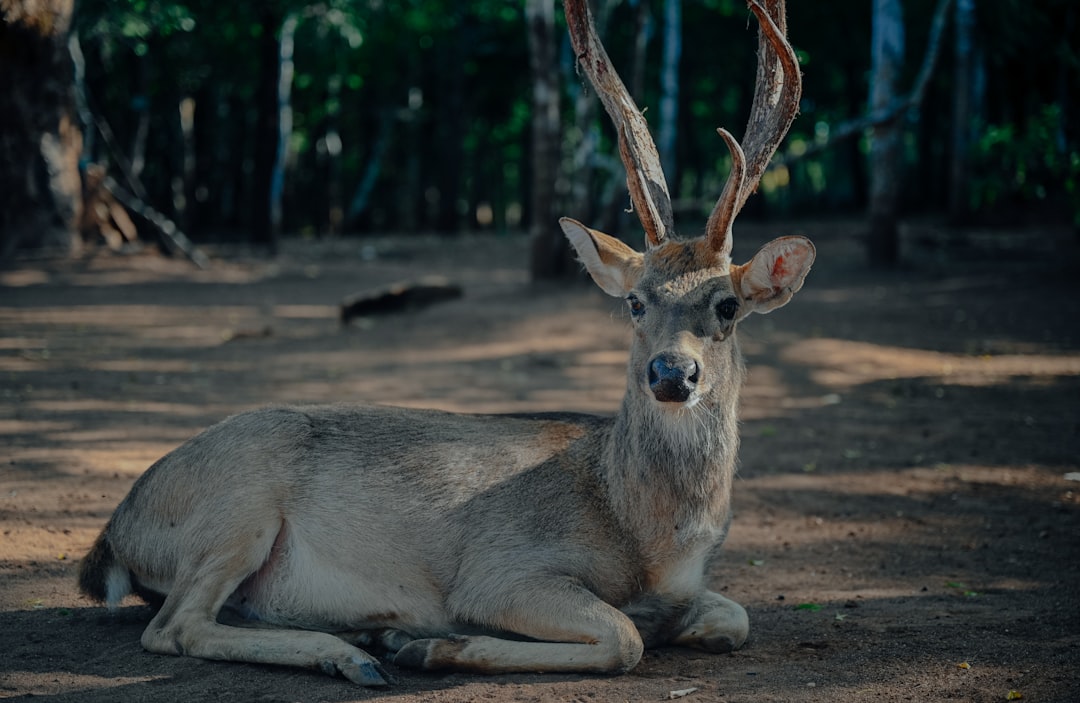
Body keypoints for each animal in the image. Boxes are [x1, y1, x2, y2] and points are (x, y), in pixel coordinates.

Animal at [78, 0, 812, 686]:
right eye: (635, 302)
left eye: (728, 305)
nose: (671, 373)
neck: (649, 537)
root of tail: (114, 535)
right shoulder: (502, 569)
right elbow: (625, 638)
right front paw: (431, 645)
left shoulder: (693, 593)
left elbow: (734, 618)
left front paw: (413, 640)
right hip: (238, 499)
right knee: (174, 626)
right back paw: (357, 653)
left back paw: (367, 637)